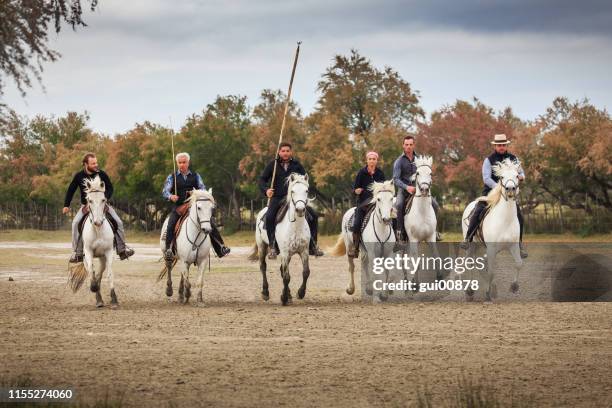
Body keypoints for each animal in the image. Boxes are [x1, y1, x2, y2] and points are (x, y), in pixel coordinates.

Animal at [81, 176, 117, 310]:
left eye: (103, 199)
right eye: (89, 200)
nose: (97, 222)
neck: (97, 230)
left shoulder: (108, 252)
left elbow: (109, 274)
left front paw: (114, 300)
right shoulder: (88, 252)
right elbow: (91, 271)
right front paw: (93, 288)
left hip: (102, 257)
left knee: (100, 273)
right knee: (92, 271)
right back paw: (98, 298)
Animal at [249, 173, 310, 306]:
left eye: (306, 191)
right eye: (292, 191)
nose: (300, 210)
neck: (295, 226)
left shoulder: (304, 251)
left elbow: (306, 272)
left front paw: (300, 293)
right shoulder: (285, 253)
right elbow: (287, 277)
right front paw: (284, 298)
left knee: (282, 270)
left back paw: (289, 295)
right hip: (262, 247)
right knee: (263, 266)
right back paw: (265, 293)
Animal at [462, 158, 524, 302]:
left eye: (517, 176)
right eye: (502, 177)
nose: (510, 189)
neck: (505, 220)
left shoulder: (513, 246)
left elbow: (518, 264)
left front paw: (514, 286)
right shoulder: (491, 248)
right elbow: (491, 271)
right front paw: (487, 294)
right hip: (472, 245)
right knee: (470, 263)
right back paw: (469, 291)